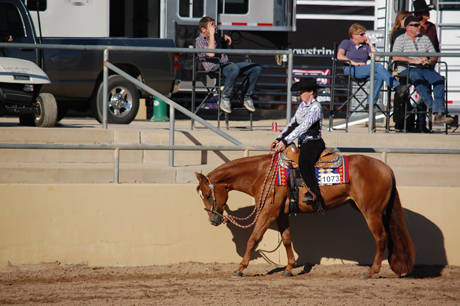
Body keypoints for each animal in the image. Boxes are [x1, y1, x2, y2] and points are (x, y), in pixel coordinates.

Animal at [196, 148, 416, 280]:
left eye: (207, 195)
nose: (213, 220)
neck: (263, 173)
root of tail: (386, 167)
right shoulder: (281, 214)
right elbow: (286, 240)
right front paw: (288, 269)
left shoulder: (268, 212)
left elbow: (254, 238)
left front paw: (240, 268)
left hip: (371, 212)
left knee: (381, 238)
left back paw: (371, 271)